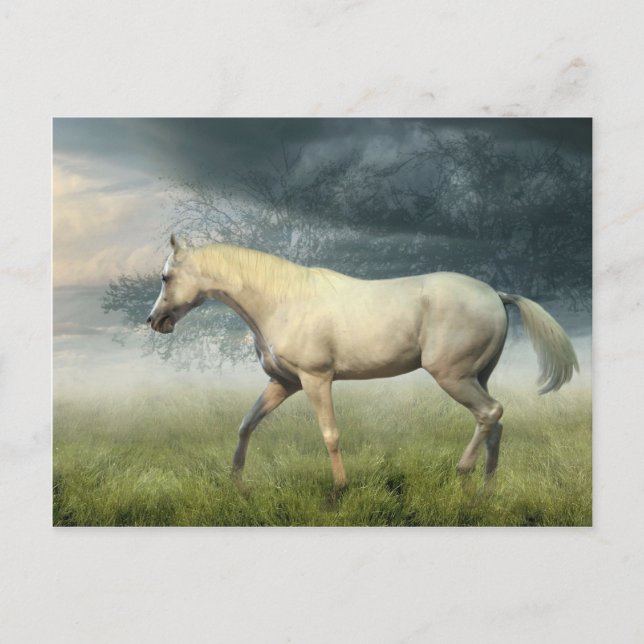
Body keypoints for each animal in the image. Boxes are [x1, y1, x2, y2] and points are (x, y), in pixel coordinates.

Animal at [147, 234, 578, 491]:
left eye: (166, 277)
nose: (155, 321)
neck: (282, 301)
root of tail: (496, 294)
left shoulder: (316, 379)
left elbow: (330, 434)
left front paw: (340, 489)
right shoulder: (283, 383)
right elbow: (246, 424)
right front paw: (236, 482)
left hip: (453, 376)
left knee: (491, 412)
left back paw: (462, 470)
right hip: (477, 376)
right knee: (494, 422)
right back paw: (486, 487)